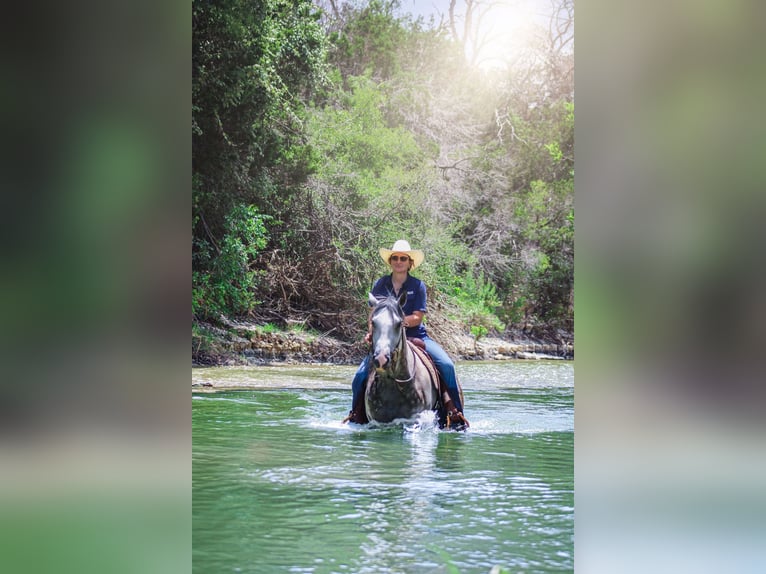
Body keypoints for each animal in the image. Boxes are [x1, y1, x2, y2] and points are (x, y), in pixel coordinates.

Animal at [364, 292, 468, 428]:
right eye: (373, 322)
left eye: (399, 324)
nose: (381, 358)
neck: (391, 384)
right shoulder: (376, 421)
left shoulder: (415, 419)